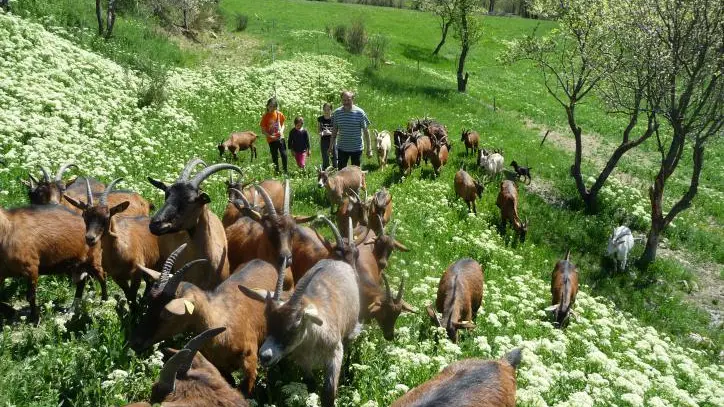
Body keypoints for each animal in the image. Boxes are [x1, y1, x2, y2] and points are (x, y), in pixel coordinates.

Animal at [129, 247, 278, 396]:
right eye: (150, 302)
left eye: (168, 313)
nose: (135, 342)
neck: (223, 320)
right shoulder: (220, 366)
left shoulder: (250, 362)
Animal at [239, 260, 360, 407]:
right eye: (267, 320)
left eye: (295, 325)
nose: (265, 356)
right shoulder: (303, 360)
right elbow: (310, 384)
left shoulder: (335, 353)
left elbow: (328, 394)